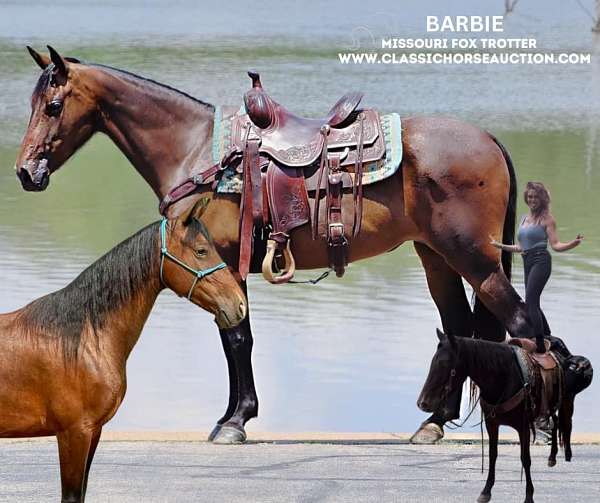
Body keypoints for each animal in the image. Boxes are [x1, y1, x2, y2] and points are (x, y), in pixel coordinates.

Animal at [14, 46, 536, 444]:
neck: (195, 150)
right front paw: (233, 415)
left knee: (520, 320)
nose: (25, 171)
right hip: (438, 259)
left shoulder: (224, 261)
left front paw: (236, 421)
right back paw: (434, 423)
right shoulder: (223, 270)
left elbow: (237, 337)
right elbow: (235, 336)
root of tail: (489, 139)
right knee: (459, 328)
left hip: (473, 258)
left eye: (53, 106)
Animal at [418, 330, 572, 503]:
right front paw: (486, 491)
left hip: (553, 404)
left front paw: (529, 495)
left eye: (445, 364)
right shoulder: (491, 423)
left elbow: (525, 459)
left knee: (557, 422)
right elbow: (493, 455)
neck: (503, 378)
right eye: (433, 362)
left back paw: (555, 456)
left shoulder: (523, 426)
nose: (423, 403)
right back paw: (552, 457)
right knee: (555, 422)